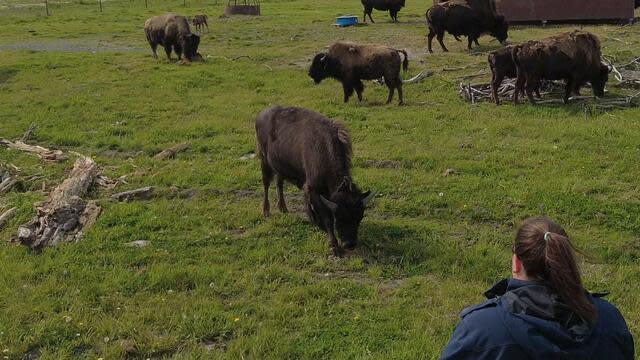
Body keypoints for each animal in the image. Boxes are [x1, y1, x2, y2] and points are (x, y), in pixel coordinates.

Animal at [255, 105, 376, 255]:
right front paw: (333, 245)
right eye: (339, 217)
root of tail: (261, 114)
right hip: (264, 161)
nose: (350, 244)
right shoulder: (314, 190)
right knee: (266, 184)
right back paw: (266, 211)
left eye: (360, 217)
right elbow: (326, 217)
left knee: (279, 183)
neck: (324, 149)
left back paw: (283, 208)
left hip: (279, 166)